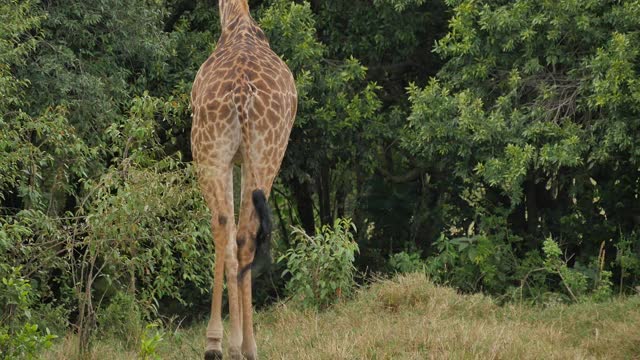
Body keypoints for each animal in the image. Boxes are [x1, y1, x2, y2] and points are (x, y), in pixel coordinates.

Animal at [190, 0, 298, 360]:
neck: (237, 23)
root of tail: (240, 94)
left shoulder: (231, 160)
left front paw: (220, 341)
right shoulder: (240, 158)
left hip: (210, 149)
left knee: (225, 226)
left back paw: (226, 344)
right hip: (262, 151)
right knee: (241, 233)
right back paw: (243, 345)